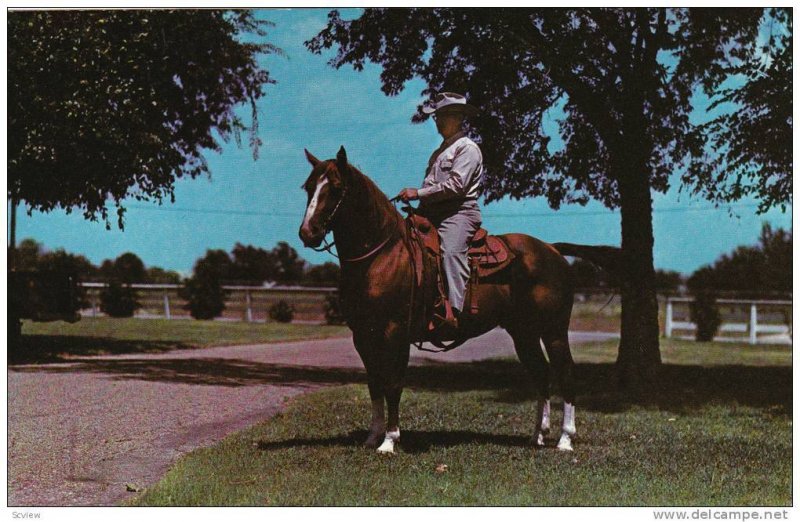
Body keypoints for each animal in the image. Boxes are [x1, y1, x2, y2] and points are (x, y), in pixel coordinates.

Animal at [298, 146, 576, 450]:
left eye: (336, 188)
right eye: (308, 187)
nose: (308, 233)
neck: (382, 254)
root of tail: (552, 249)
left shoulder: (395, 331)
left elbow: (393, 384)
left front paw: (389, 441)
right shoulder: (362, 335)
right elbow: (375, 383)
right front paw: (373, 437)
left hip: (554, 330)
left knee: (565, 372)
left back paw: (565, 439)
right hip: (524, 333)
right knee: (541, 374)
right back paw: (537, 435)